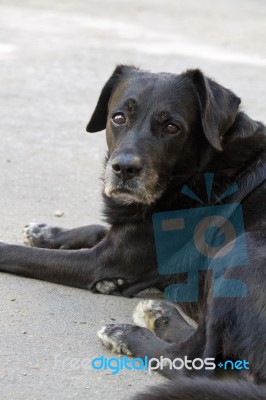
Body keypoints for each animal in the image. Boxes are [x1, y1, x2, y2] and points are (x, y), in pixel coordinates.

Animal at [0, 67, 266, 398]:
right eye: (118, 117)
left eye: (172, 127)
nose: (124, 169)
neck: (201, 170)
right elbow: (96, 228)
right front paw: (45, 231)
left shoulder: (100, 261)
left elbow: (22, 254)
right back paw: (159, 315)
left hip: (244, 247)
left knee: (193, 361)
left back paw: (127, 334)